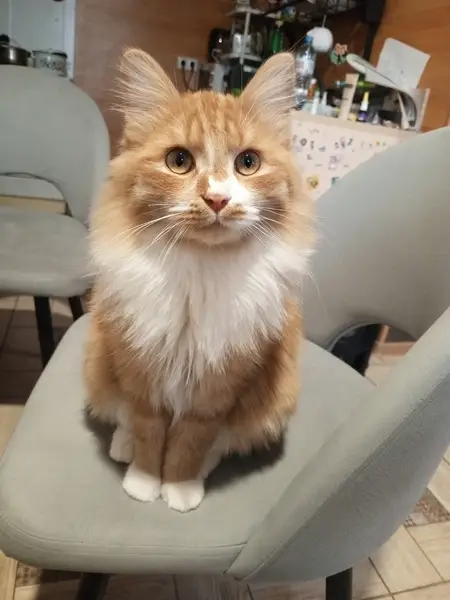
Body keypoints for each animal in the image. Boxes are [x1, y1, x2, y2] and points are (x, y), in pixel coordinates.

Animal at [84, 48, 314, 512]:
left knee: (225, 442)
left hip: (275, 402)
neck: (199, 272)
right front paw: (144, 481)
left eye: (248, 163)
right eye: (179, 162)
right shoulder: (141, 370)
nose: (217, 199)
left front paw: (179, 486)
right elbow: (148, 430)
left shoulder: (219, 385)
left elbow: (192, 440)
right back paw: (123, 446)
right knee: (121, 418)